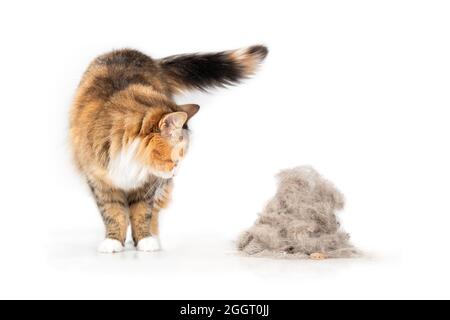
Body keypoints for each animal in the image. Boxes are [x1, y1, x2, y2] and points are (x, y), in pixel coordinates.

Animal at [69, 45, 268, 252]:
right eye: (177, 155)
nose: (176, 173)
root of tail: (138, 54)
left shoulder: (147, 185)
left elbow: (142, 213)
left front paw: (145, 240)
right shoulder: (101, 182)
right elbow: (113, 213)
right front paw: (113, 241)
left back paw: (154, 238)